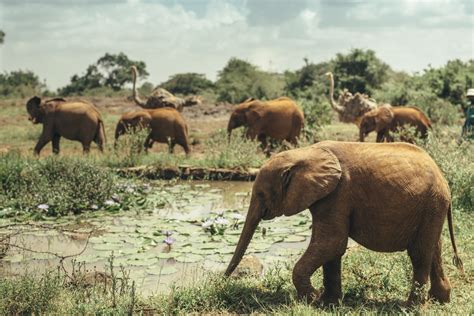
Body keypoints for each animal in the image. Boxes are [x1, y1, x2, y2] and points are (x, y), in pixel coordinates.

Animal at [225, 141, 462, 306]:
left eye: (260, 194)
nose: (224, 279)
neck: (305, 152)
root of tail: (443, 179)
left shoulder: (338, 193)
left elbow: (332, 243)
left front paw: (313, 299)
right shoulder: (330, 196)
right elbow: (333, 249)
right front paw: (328, 303)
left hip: (431, 203)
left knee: (419, 254)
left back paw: (410, 307)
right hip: (432, 207)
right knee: (434, 249)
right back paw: (439, 300)